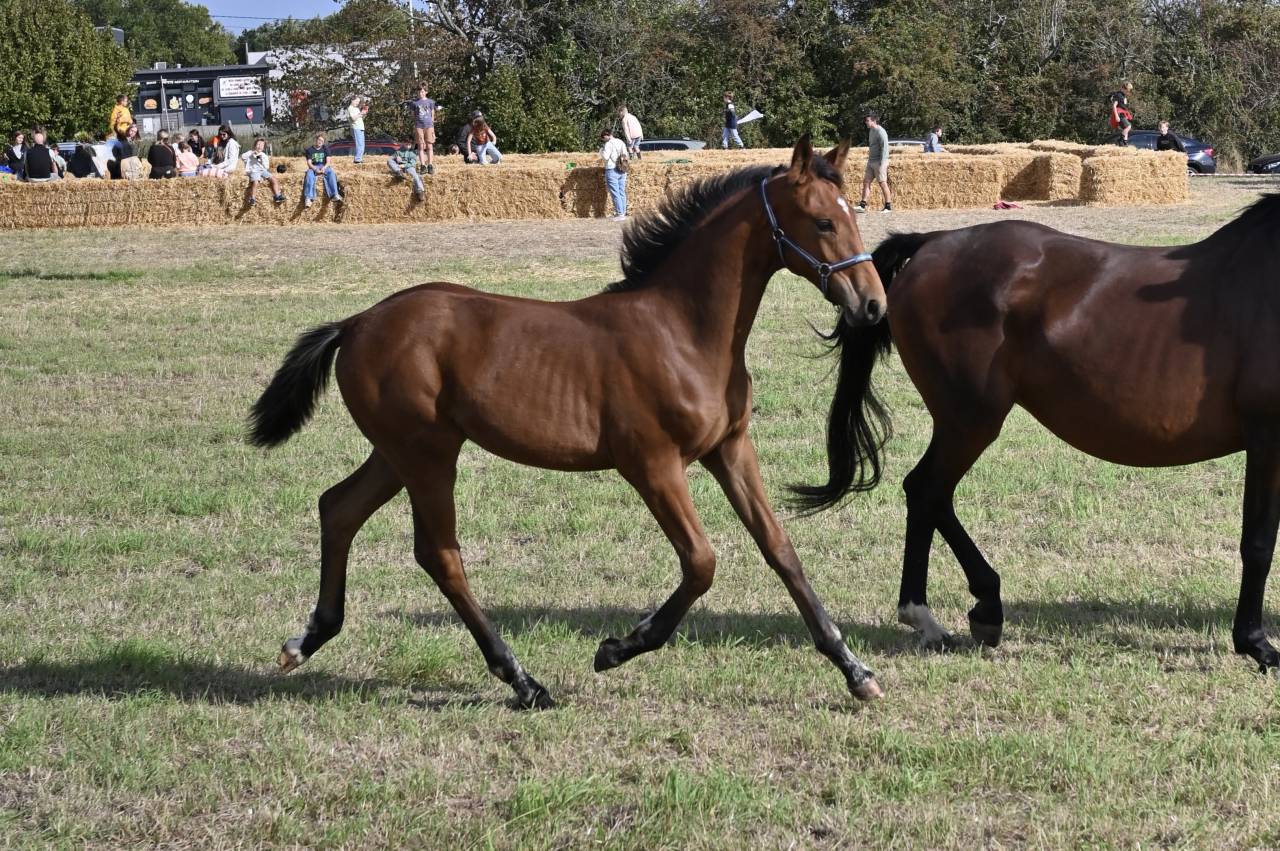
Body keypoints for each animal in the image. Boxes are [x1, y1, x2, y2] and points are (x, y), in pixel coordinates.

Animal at [248, 136, 889, 708]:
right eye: (822, 223)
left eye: (853, 213)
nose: (873, 305)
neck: (683, 331)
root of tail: (357, 322)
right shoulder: (652, 465)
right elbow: (702, 562)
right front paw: (618, 647)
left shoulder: (729, 449)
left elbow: (780, 549)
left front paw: (856, 671)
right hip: (427, 455)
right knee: (439, 554)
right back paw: (523, 682)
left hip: (397, 453)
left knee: (339, 508)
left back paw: (307, 641)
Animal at [796, 195, 1280, 673]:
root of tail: (935, 242)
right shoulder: (1266, 439)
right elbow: (1258, 542)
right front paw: (1256, 643)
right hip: (970, 418)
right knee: (926, 490)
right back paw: (938, 614)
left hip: (964, 422)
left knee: (932, 496)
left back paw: (979, 606)